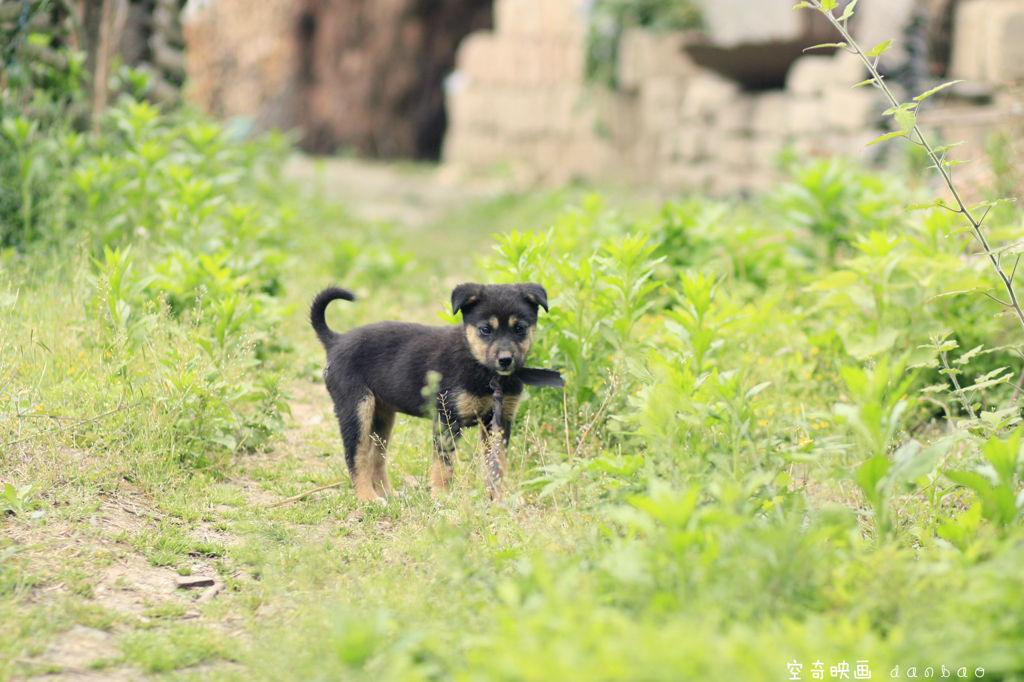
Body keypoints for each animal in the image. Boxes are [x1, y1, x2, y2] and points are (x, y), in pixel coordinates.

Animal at [309, 280, 548, 499]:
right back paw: (369, 499)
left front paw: (499, 499)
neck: (484, 370)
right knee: (355, 456)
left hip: (382, 416)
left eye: (519, 329)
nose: (505, 360)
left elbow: (497, 466)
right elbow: (444, 467)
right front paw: (441, 497)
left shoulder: (499, 422)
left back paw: (389, 495)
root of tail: (336, 341)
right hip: (356, 408)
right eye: (486, 330)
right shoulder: (447, 421)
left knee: (375, 457)